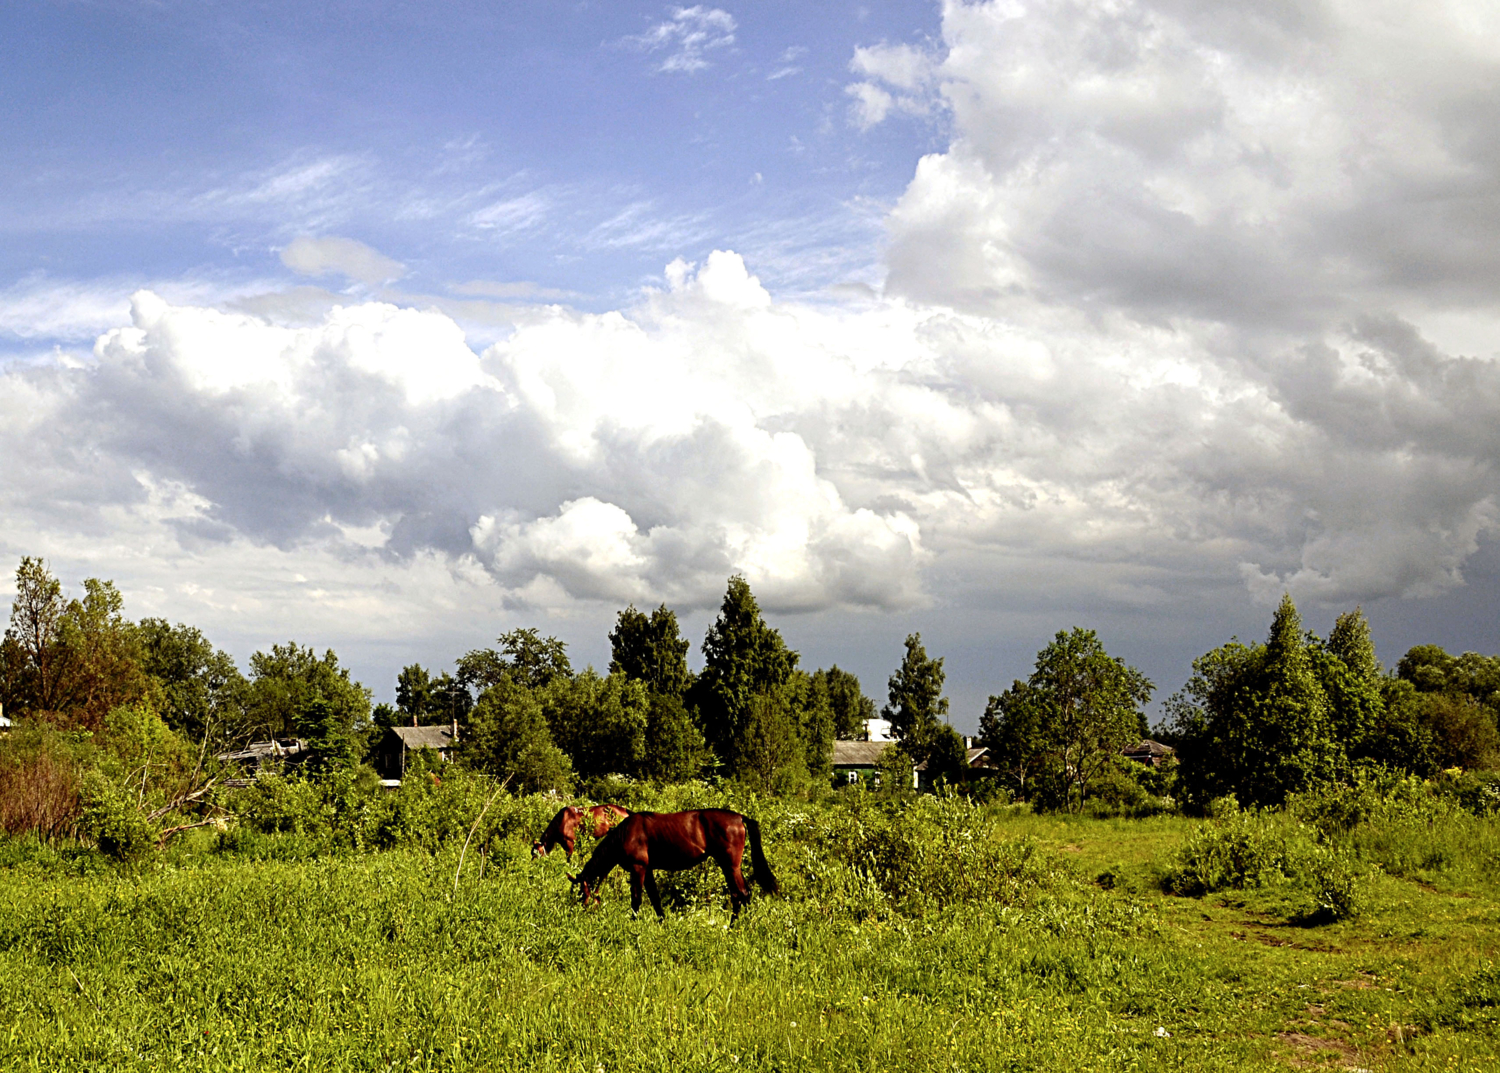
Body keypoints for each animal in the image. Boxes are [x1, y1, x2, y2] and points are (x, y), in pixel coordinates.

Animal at [564, 810, 774, 918]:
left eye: (580, 893)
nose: (578, 912)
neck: (625, 834)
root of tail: (740, 818)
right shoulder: (647, 870)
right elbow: (655, 899)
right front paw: (662, 924)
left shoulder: (638, 868)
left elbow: (636, 899)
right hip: (732, 867)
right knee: (744, 894)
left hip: (729, 865)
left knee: (739, 894)